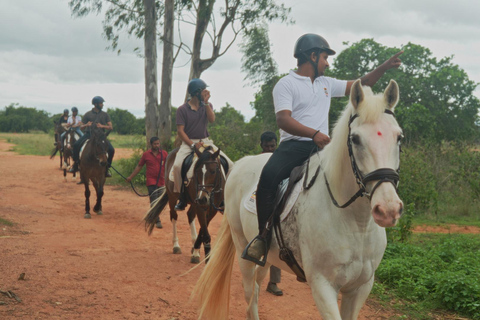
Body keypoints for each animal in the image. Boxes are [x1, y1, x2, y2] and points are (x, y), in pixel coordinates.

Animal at [193, 79, 404, 320]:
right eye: (355, 139)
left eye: (399, 137)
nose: (388, 209)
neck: (355, 224)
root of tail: (241, 163)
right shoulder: (322, 286)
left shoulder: (361, 287)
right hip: (241, 248)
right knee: (249, 293)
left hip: (267, 257)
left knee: (257, 285)